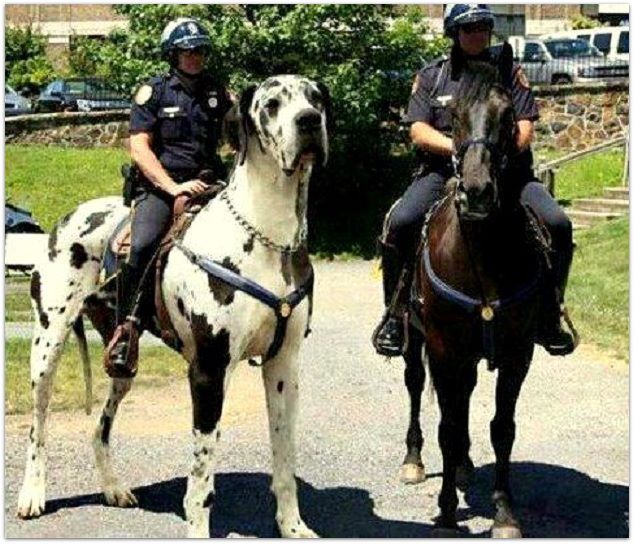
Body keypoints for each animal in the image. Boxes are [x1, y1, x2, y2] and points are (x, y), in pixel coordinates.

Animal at [16, 74, 330, 536]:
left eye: (315, 99)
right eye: (272, 103)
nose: (308, 121)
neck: (267, 235)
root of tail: (67, 216)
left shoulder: (283, 369)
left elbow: (284, 457)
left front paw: (292, 527)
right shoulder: (208, 372)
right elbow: (201, 476)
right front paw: (198, 529)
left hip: (122, 363)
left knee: (99, 428)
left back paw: (114, 488)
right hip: (46, 350)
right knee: (37, 428)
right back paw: (32, 494)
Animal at [408, 45, 544, 536]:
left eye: (507, 116)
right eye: (455, 115)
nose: (478, 192)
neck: (482, 256)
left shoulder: (519, 352)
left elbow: (502, 428)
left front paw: (504, 512)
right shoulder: (443, 346)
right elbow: (447, 427)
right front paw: (447, 511)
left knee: (464, 400)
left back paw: (465, 465)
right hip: (416, 340)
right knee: (416, 386)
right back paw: (414, 459)